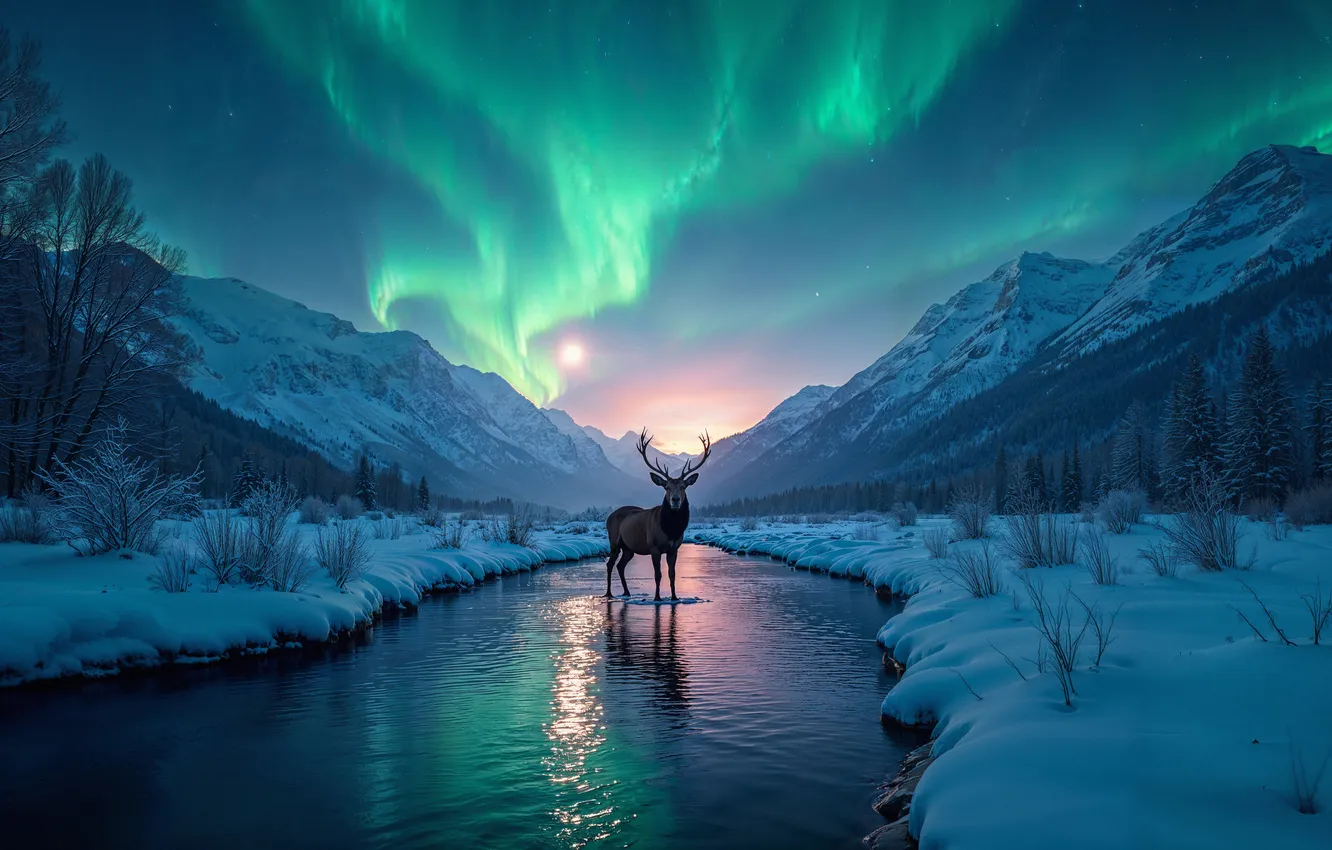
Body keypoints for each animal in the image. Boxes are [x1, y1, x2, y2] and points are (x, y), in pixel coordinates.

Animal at [604, 428, 712, 601]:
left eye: (683, 486)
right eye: (666, 487)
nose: (675, 500)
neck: (671, 530)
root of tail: (609, 516)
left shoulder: (674, 548)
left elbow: (672, 574)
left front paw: (674, 597)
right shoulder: (654, 547)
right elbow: (658, 574)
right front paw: (657, 597)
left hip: (628, 548)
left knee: (620, 565)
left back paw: (627, 592)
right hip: (614, 541)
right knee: (610, 564)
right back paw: (609, 593)